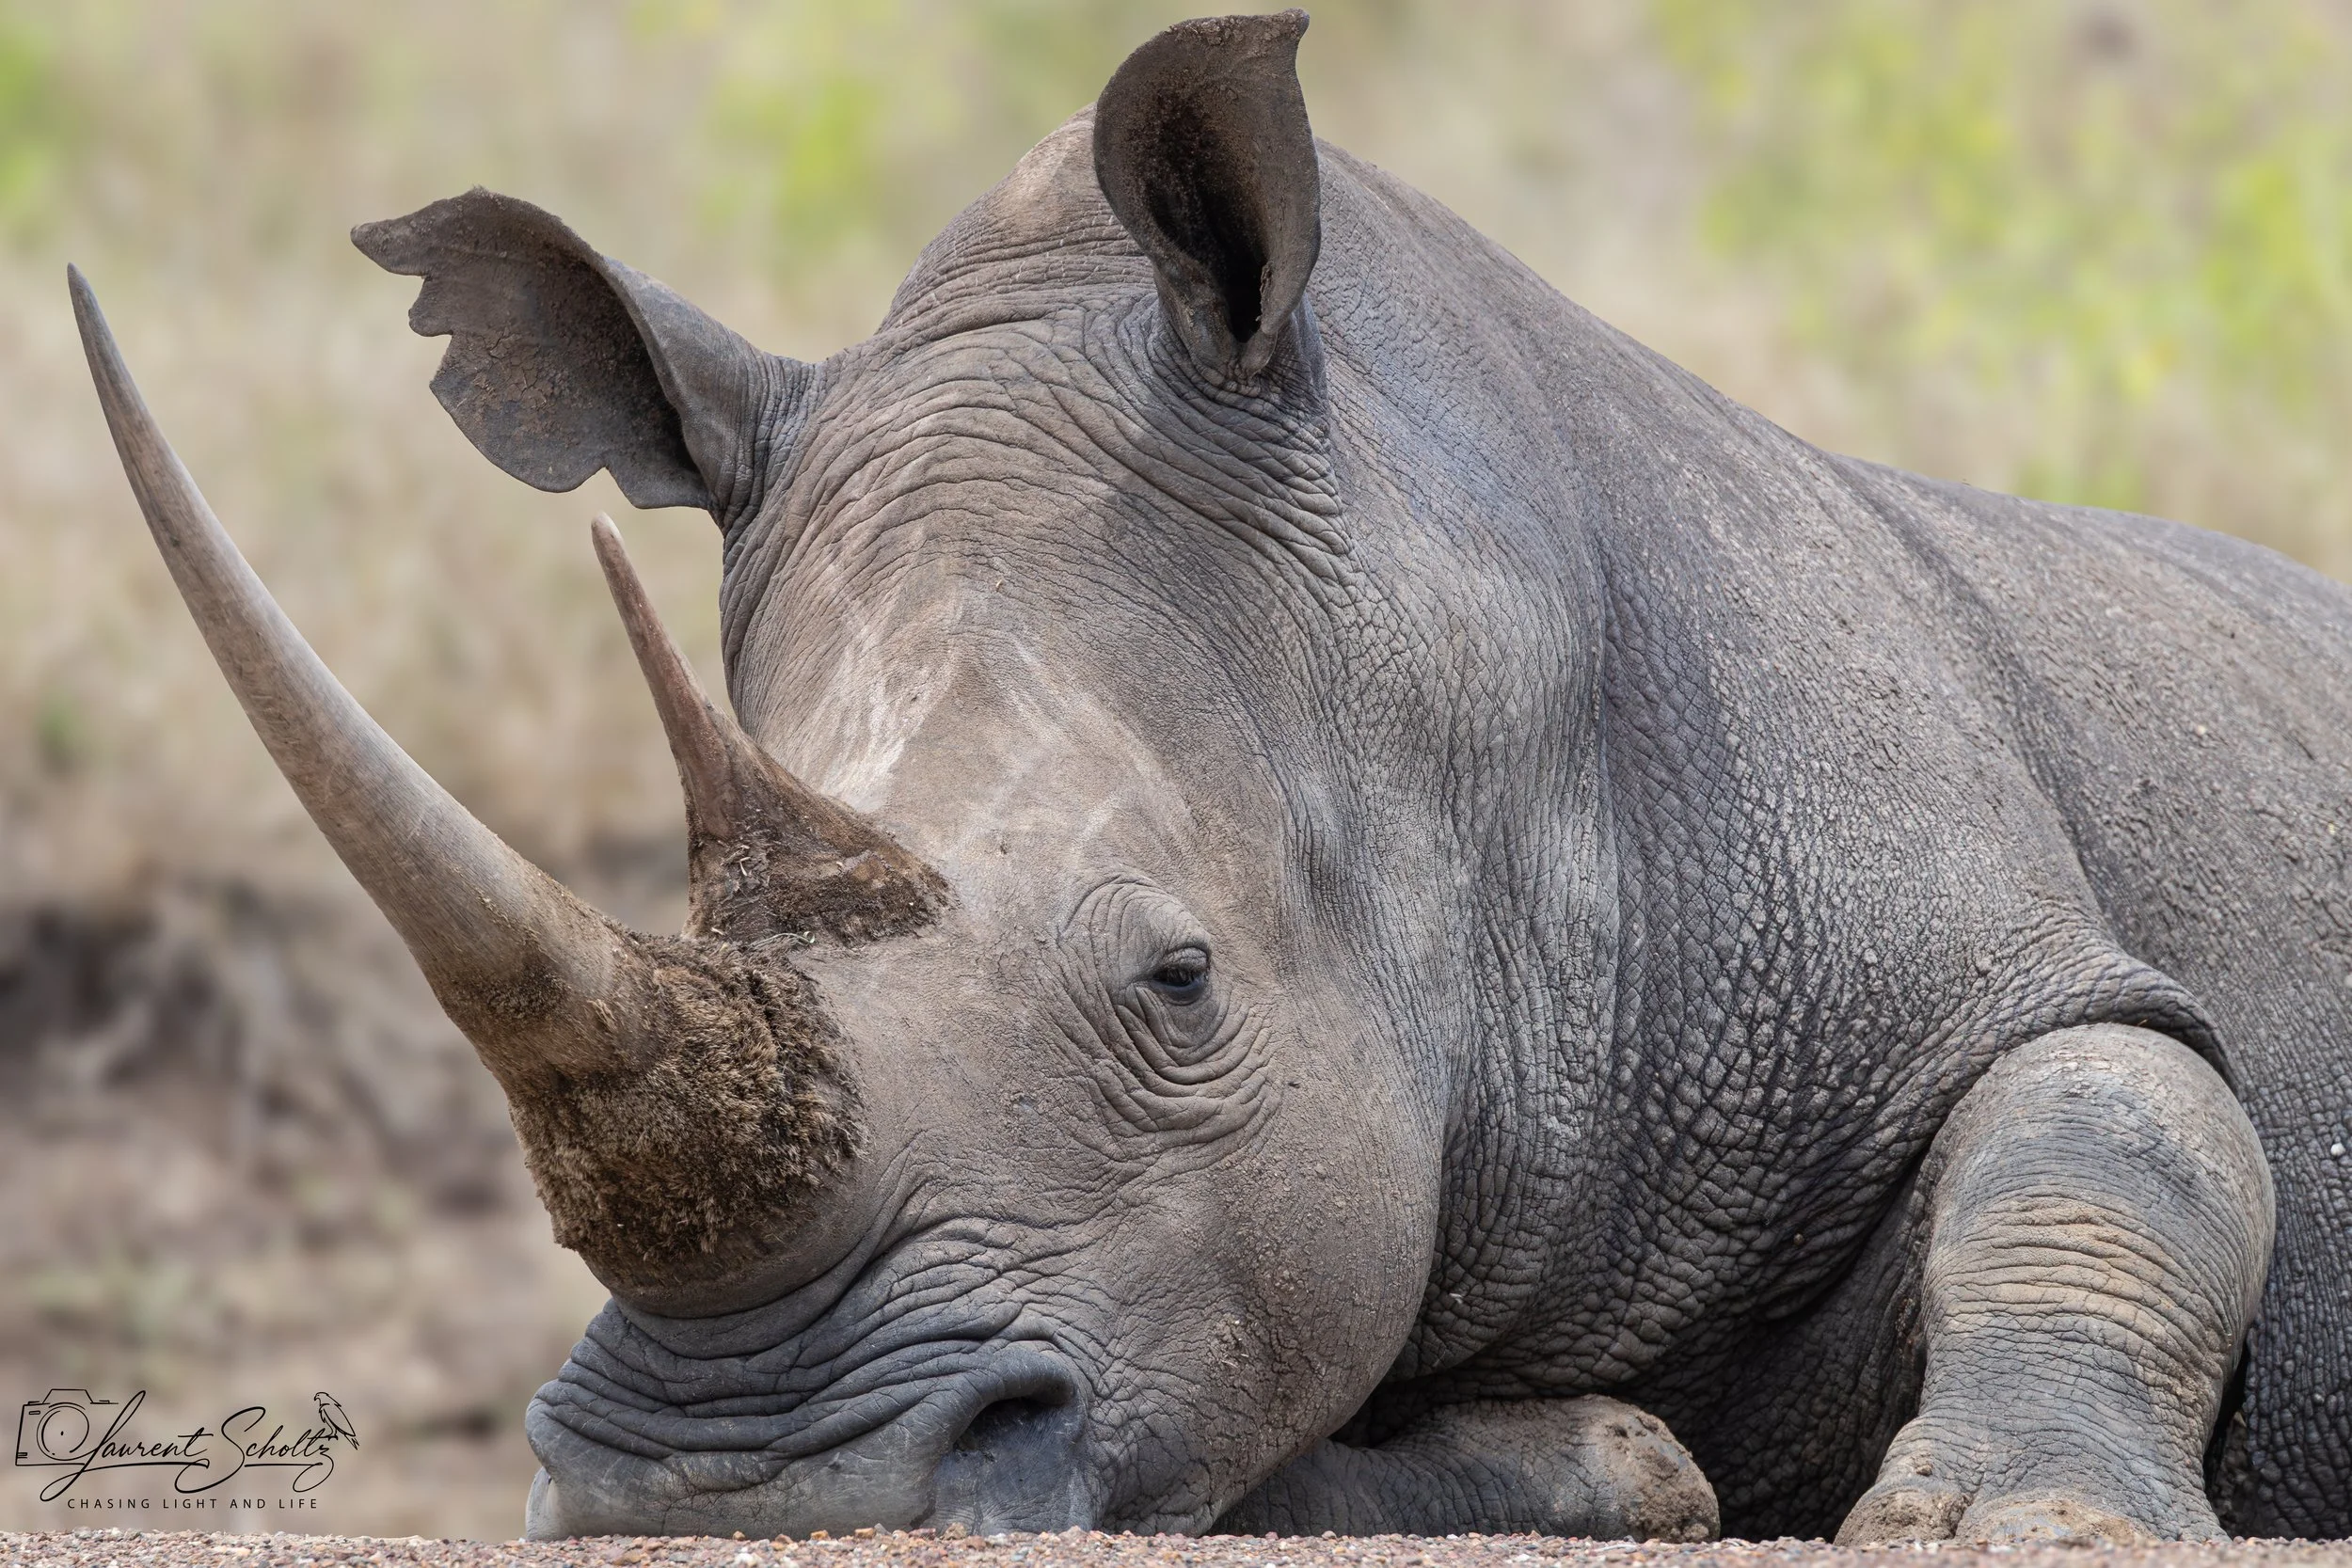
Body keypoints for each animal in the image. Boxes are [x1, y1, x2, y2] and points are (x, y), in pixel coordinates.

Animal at [69, 9, 2350, 1544]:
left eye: (1177, 984)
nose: (747, 1485)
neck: (1461, 671)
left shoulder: (1957, 945)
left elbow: (2116, 1120)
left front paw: (2028, 1520)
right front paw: (1613, 1460)